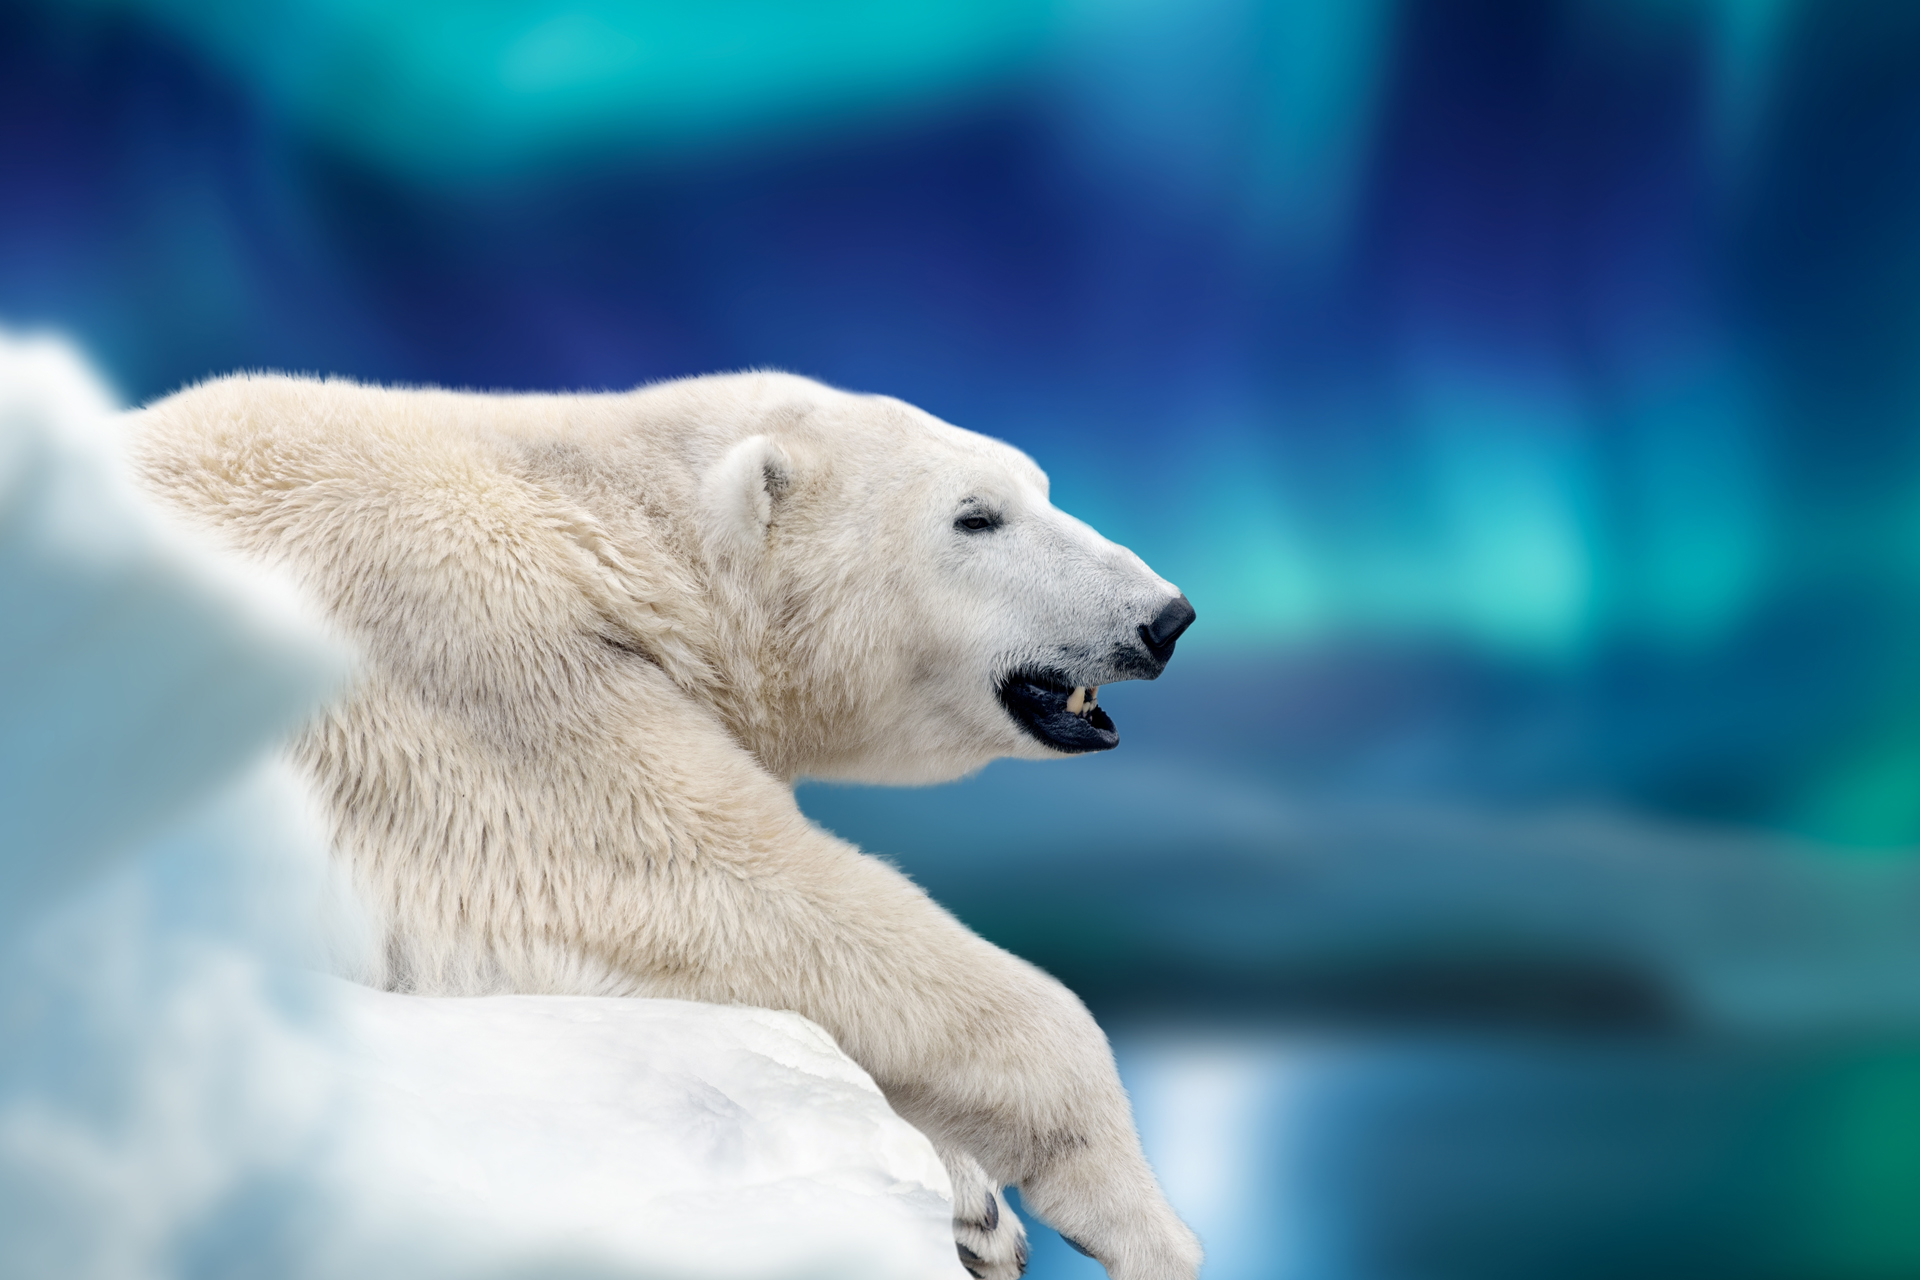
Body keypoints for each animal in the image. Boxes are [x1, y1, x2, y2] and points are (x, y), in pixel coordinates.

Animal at [128, 370, 1203, 1280]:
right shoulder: (470, 660)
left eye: (1040, 486)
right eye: (975, 515)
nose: (1165, 617)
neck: (595, 524)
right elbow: (705, 883)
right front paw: (1142, 1222)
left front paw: (978, 1206)